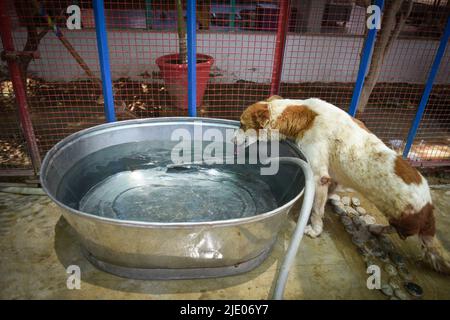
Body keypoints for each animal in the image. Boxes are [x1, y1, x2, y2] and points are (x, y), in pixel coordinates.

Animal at [237, 96, 448, 274]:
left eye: (242, 124)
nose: (231, 139)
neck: (305, 116)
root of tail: (429, 210)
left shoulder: (319, 176)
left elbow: (316, 210)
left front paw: (314, 230)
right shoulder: (332, 176)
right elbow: (324, 197)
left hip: (403, 220)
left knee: (403, 233)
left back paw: (377, 228)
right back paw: (376, 228)